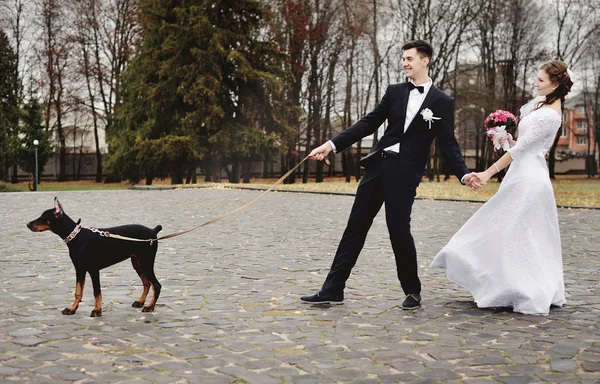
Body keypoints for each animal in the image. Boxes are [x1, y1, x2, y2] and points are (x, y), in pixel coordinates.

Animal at [27, 196, 163, 316]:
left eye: (43, 217)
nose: (28, 224)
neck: (76, 236)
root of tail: (153, 231)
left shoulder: (93, 269)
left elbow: (96, 291)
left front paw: (97, 310)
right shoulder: (79, 269)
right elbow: (78, 292)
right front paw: (72, 309)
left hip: (146, 262)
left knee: (156, 285)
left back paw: (150, 307)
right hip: (137, 263)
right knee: (147, 283)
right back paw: (140, 302)